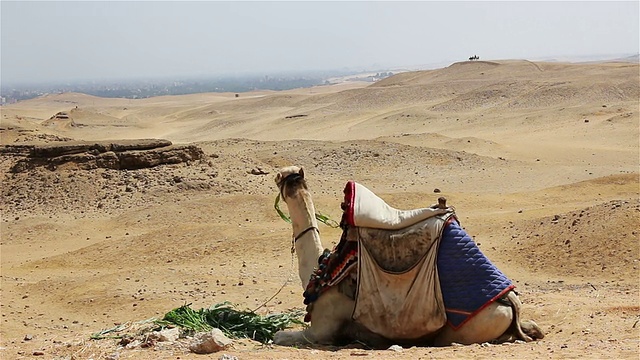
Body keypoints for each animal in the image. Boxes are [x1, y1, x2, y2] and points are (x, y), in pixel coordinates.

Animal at [272, 167, 544, 348]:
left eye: (280, 177)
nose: (279, 174)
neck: (322, 269)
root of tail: (510, 298)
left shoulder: (322, 330)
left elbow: (280, 336)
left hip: (466, 328)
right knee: (529, 326)